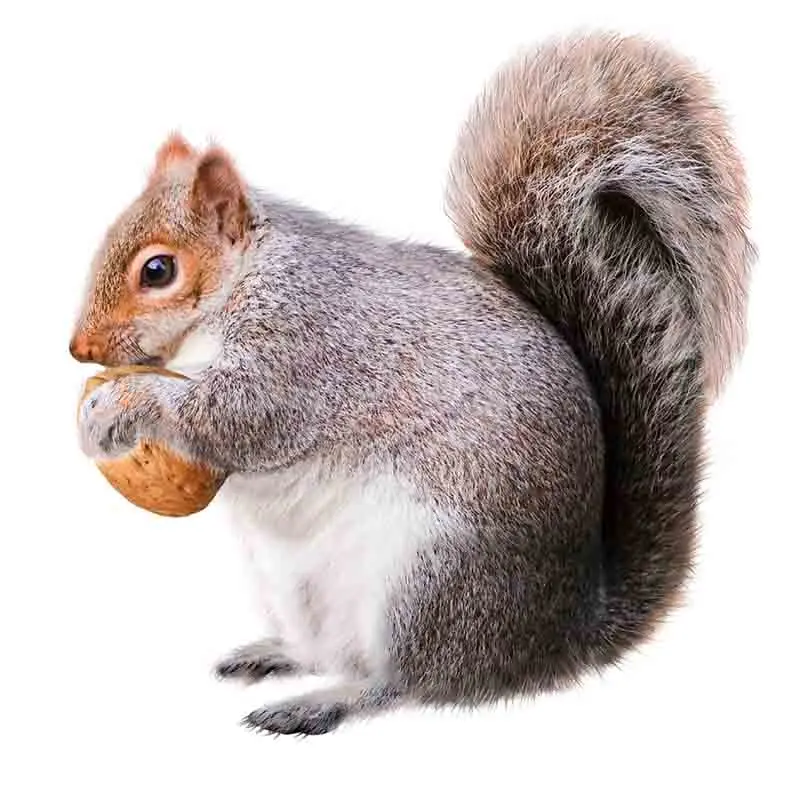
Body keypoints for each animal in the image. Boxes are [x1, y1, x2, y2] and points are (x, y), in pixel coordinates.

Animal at [70, 30, 753, 736]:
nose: (79, 349)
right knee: (329, 651)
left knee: (410, 682)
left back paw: (325, 702)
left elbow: (241, 417)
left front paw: (120, 406)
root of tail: (559, 633)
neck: (240, 284)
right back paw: (278, 656)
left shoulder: (305, 343)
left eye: (158, 270)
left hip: (431, 579)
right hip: (294, 584)